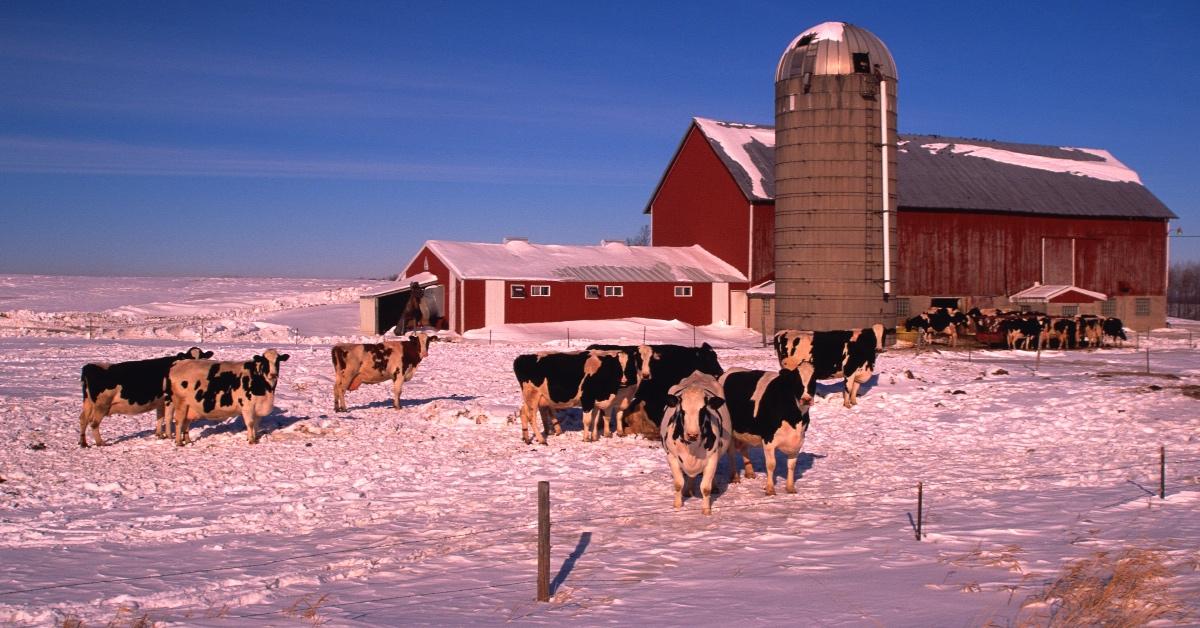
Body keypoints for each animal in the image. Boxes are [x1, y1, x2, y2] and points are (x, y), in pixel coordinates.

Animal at [78, 345, 213, 449]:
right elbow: (168, 417)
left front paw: (160, 435)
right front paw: (170, 436)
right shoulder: (169, 399)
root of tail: (89, 366)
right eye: (189, 359)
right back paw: (100, 443)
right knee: (94, 423)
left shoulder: (160, 401)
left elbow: (160, 417)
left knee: (83, 419)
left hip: (88, 402)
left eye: (202, 358)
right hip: (102, 405)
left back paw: (83, 443)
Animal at [657, 374, 729, 516]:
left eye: (703, 410)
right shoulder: (672, 456)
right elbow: (678, 483)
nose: (692, 434)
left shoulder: (712, 457)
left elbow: (705, 487)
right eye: (682, 411)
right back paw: (688, 490)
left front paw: (706, 510)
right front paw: (677, 505)